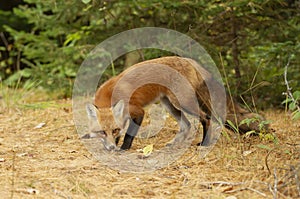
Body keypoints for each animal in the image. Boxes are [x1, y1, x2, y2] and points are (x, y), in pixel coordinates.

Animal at [83, 56, 266, 151]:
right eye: (101, 132)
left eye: (112, 130)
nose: (110, 148)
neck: (110, 96)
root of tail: (189, 60)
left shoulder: (138, 112)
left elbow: (129, 134)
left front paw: (123, 148)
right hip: (170, 105)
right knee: (187, 125)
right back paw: (174, 143)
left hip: (182, 102)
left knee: (206, 118)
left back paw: (204, 143)